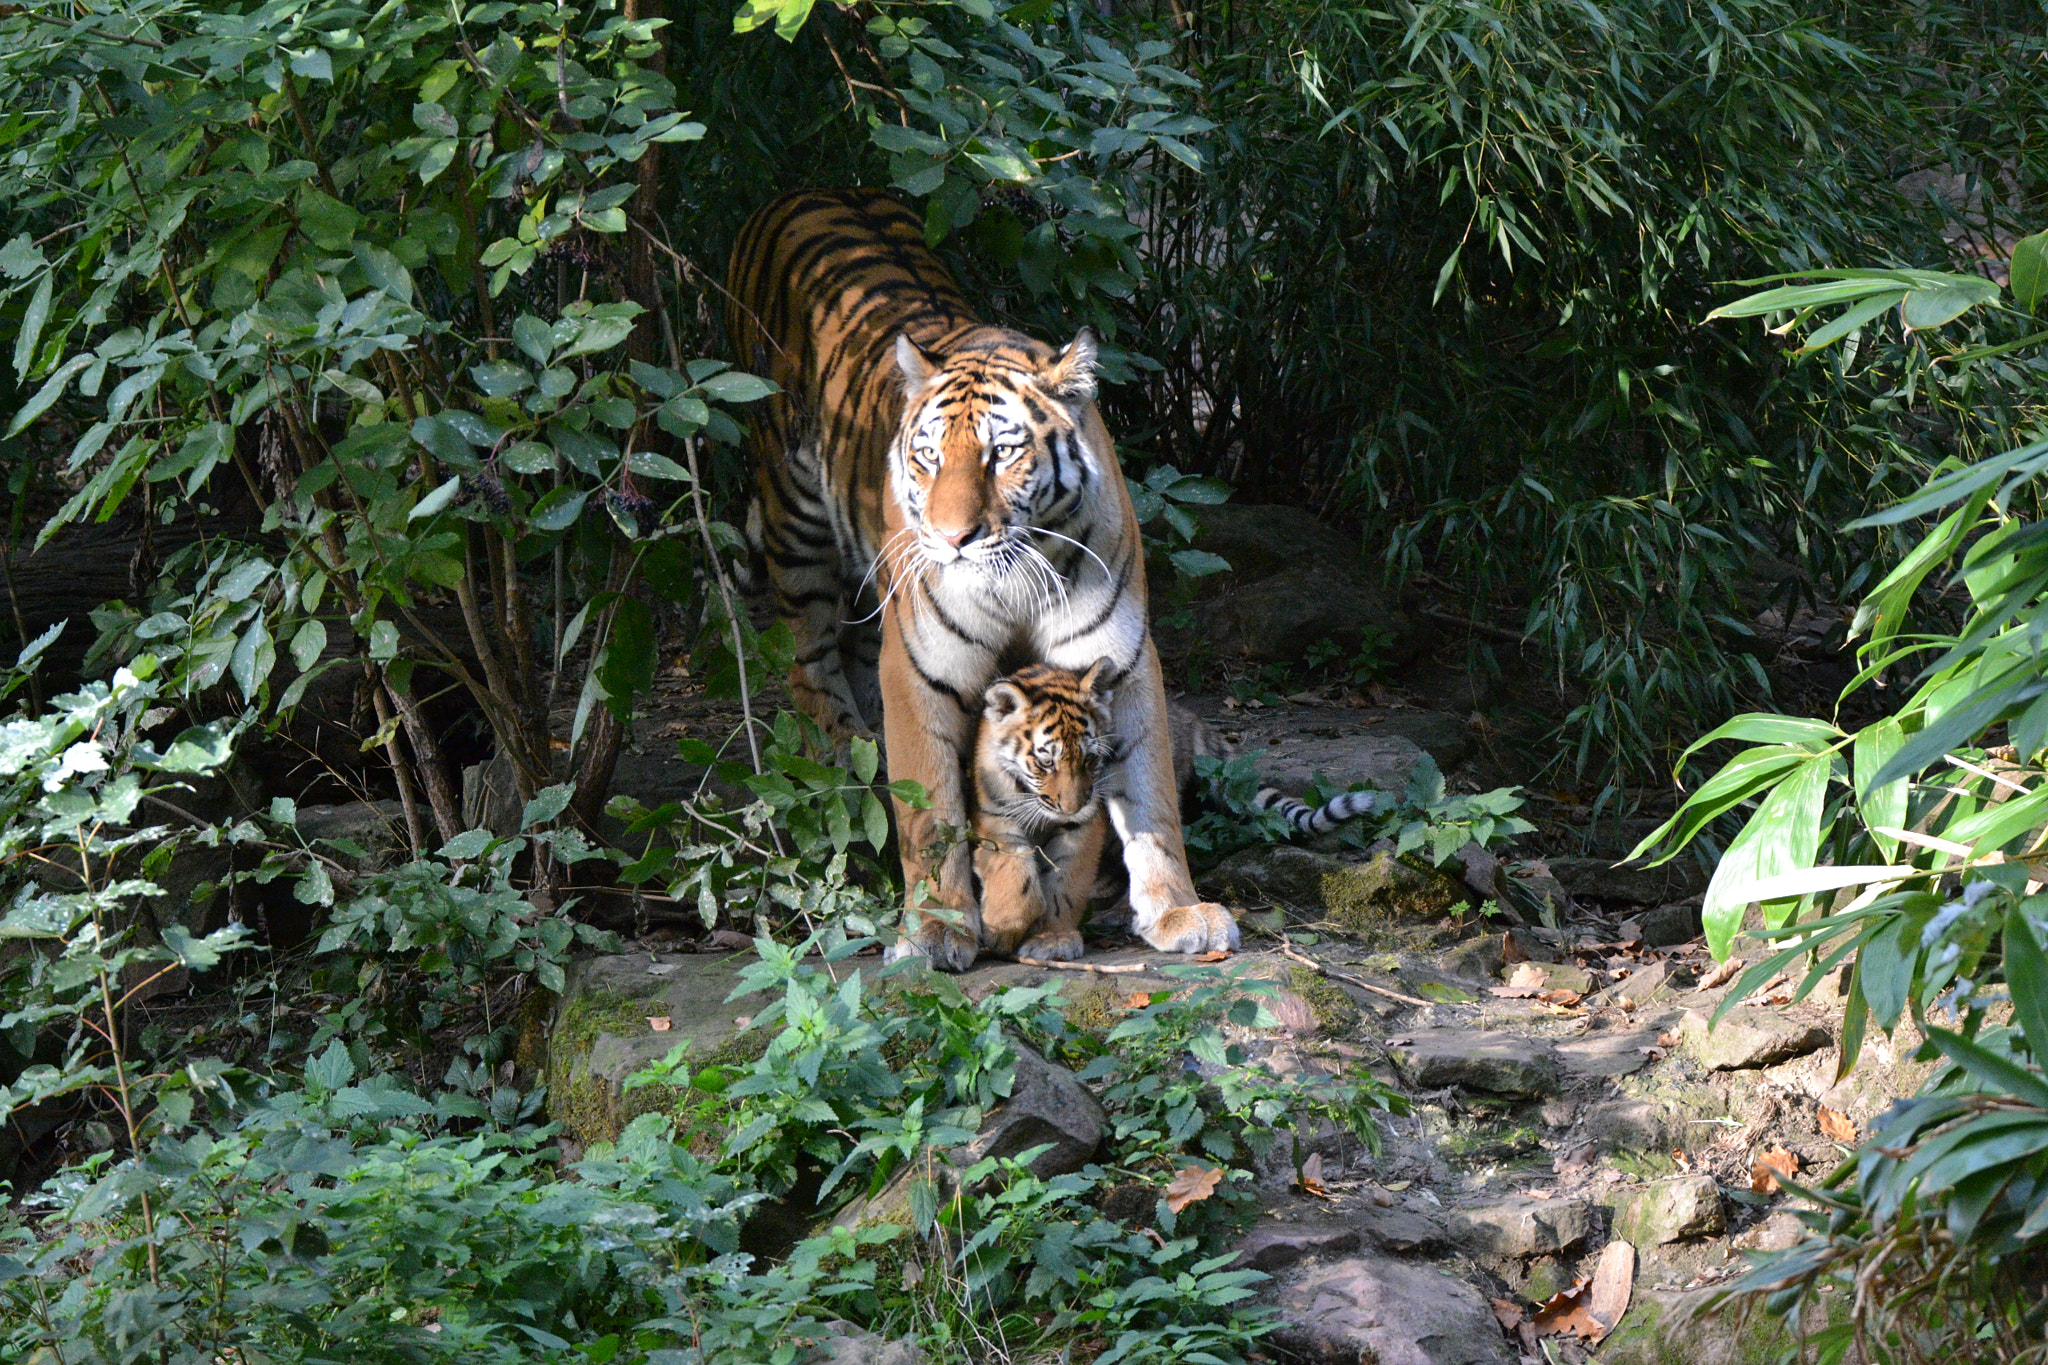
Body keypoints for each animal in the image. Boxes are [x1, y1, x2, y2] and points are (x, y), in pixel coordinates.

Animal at [967, 659, 1122, 964]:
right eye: (1046, 762)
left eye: (1089, 759)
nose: (1072, 808)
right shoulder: (995, 816)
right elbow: (1013, 870)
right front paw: (1003, 929)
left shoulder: (1082, 826)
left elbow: (1065, 884)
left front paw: (1053, 940)